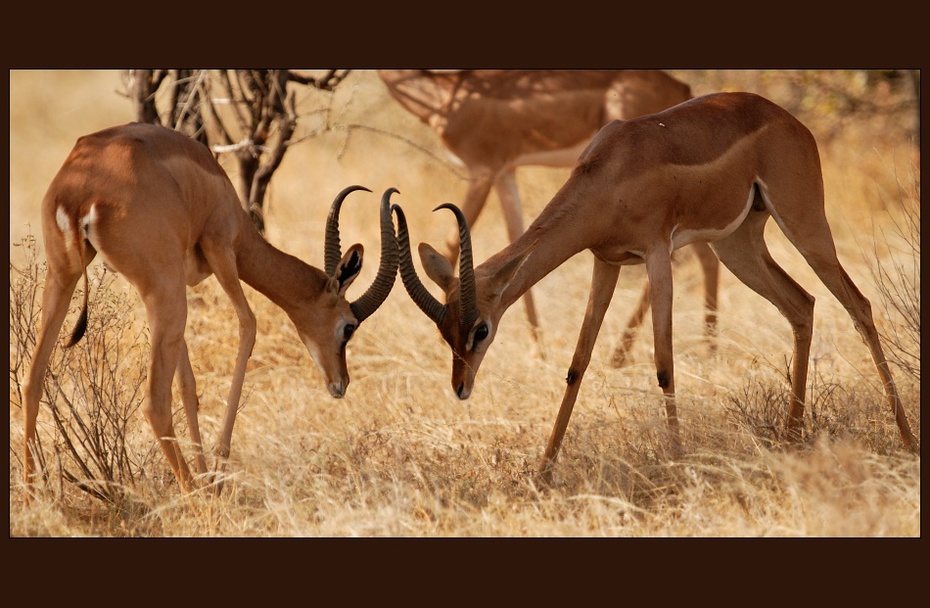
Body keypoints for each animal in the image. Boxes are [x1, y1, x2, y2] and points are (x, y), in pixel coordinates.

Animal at [20, 121, 398, 496]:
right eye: (349, 326)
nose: (340, 384)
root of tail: (83, 192)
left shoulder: (161, 291)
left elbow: (188, 385)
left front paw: (207, 473)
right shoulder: (221, 251)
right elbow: (248, 324)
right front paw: (216, 470)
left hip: (70, 278)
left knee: (32, 380)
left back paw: (32, 494)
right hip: (165, 292)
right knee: (155, 404)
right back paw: (196, 496)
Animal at [376, 71, 716, 366]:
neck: (445, 95)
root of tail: (682, 88)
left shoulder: (482, 171)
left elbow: (450, 248)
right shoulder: (505, 173)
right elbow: (517, 240)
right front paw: (537, 350)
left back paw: (627, 355)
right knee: (702, 254)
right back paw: (701, 347)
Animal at [390, 91, 912, 480]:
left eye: (480, 329)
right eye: (444, 330)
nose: (461, 387)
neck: (609, 173)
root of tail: (789, 120)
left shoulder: (657, 254)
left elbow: (663, 363)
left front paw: (680, 467)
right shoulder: (605, 262)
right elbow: (577, 364)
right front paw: (543, 471)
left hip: (805, 223)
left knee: (859, 305)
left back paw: (905, 438)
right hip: (738, 244)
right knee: (802, 304)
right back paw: (791, 439)